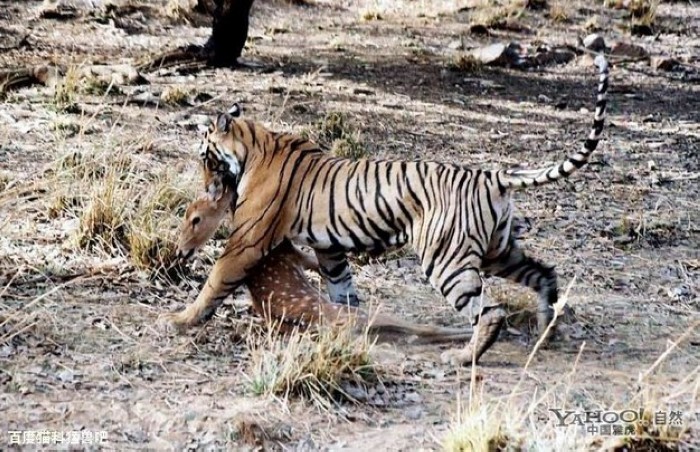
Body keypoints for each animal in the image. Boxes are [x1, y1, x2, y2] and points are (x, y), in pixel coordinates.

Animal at [173, 180, 474, 342]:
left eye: (195, 218)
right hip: (355, 313)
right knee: (420, 326)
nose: (180, 250)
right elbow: (312, 260)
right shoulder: (290, 251)